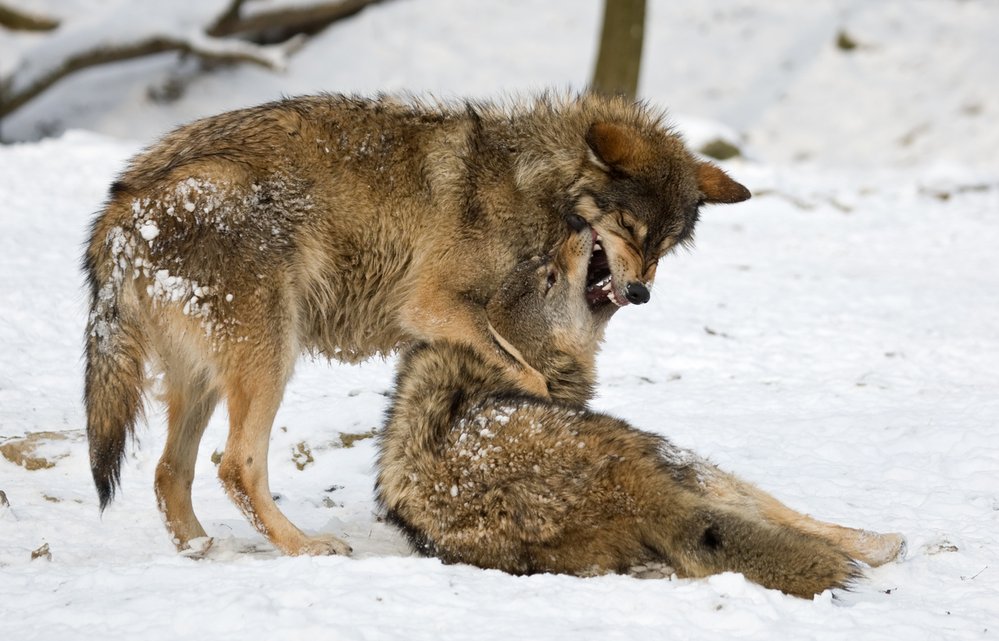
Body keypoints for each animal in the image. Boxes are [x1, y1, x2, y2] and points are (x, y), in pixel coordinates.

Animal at [84, 91, 752, 556]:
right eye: (629, 229)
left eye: (664, 247)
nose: (639, 292)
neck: (534, 190)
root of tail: (122, 212)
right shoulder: (429, 306)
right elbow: (530, 376)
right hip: (270, 356)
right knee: (235, 465)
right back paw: (304, 547)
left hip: (206, 378)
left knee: (170, 472)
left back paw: (202, 551)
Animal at [376, 228, 908, 596]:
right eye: (550, 276)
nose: (578, 226)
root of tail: (632, 494)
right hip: (679, 456)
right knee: (791, 519)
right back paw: (883, 544)